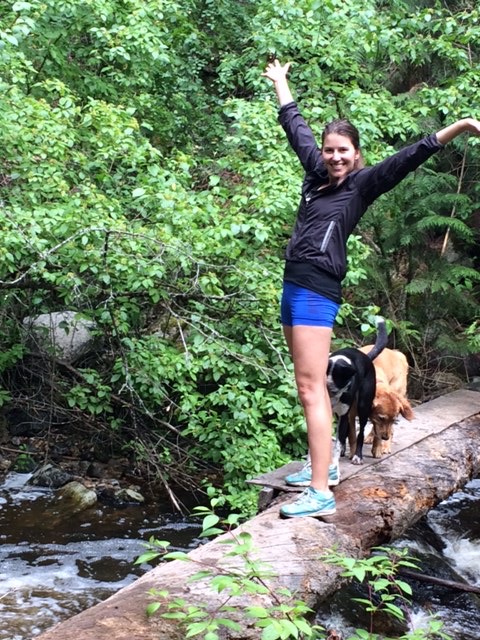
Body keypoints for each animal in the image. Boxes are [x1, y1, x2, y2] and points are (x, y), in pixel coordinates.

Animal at [328, 316, 388, 462]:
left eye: (339, 377)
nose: (328, 387)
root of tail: (367, 357)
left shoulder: (343, 414)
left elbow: (339, 441)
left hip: (363, 406)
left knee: (360, 433)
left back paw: (357, 456)